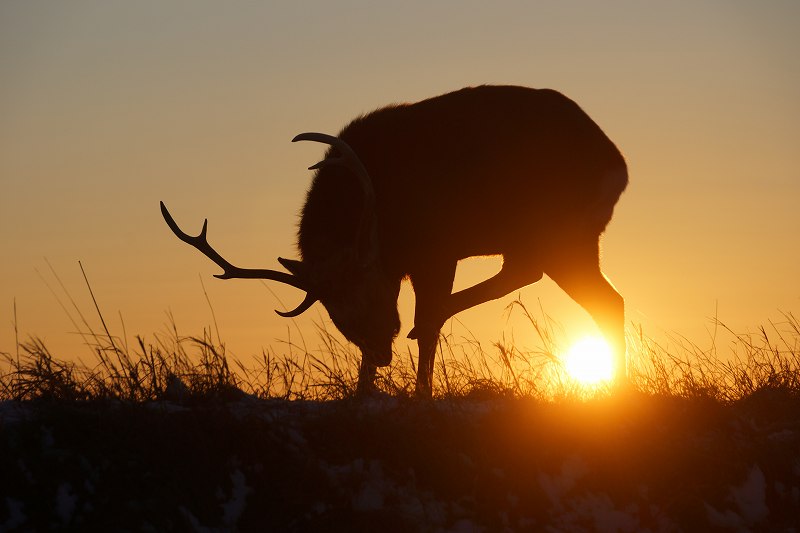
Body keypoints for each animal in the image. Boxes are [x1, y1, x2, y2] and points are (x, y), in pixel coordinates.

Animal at [161, 84, 624, 394]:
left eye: (371, 295)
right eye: (337, 316)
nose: (383, 353)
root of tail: (617, 165)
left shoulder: (437, 249)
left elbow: (431, 320)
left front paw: (421, 394)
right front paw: (363, 391)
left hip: (554, 228)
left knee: (536, 279)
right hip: (576, 242)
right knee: (605, 299)